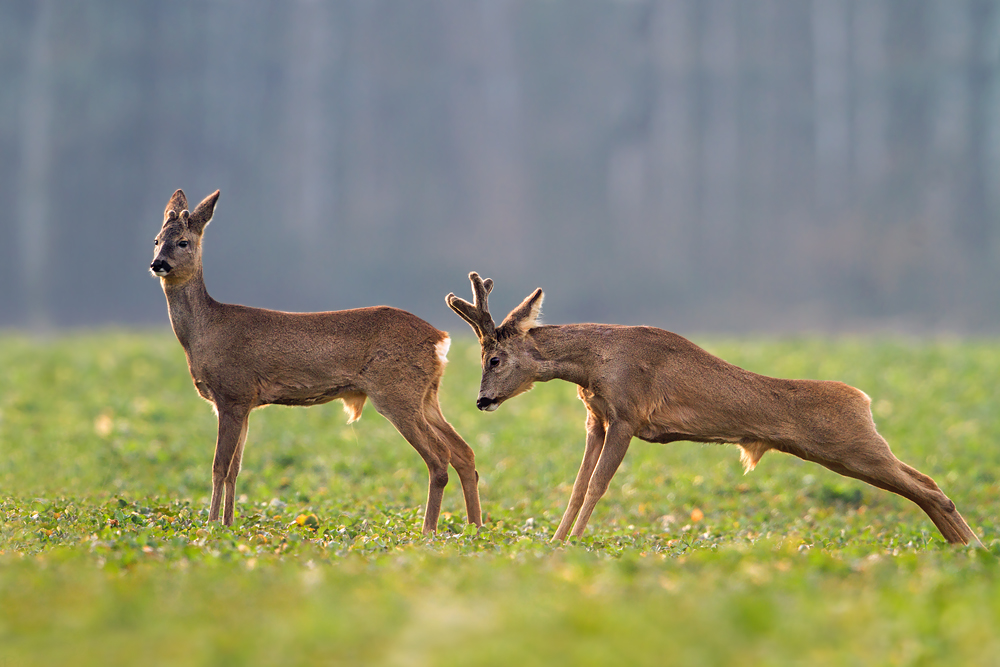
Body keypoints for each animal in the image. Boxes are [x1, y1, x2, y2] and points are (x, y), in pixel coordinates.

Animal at [146, 189, 484, 532]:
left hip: (396, 393)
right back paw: (475, 528)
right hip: (426, 395)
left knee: (439, 457)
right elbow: (235, 469)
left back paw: (429, 530)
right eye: (157, 239)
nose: (158, 263)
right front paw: (229, 524)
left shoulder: (232, 393)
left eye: (183, 241)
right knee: (464, 452)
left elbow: (219, 467)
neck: (204, 331)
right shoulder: (244, 403)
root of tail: (440, 338)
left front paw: (212, 525)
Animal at [450, 272, 980, 548]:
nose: (481, 400)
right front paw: (557, 542)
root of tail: (864, 400)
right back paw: (964, 547)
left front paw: (575, 544)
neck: (596, 363)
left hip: (852, 446)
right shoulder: (595, 420)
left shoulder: (627, 416)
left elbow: (598, 487)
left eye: (493, 359)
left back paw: (971, 547)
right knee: (927, 482)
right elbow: (577, 487)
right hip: (856, 449)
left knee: (929, 489)